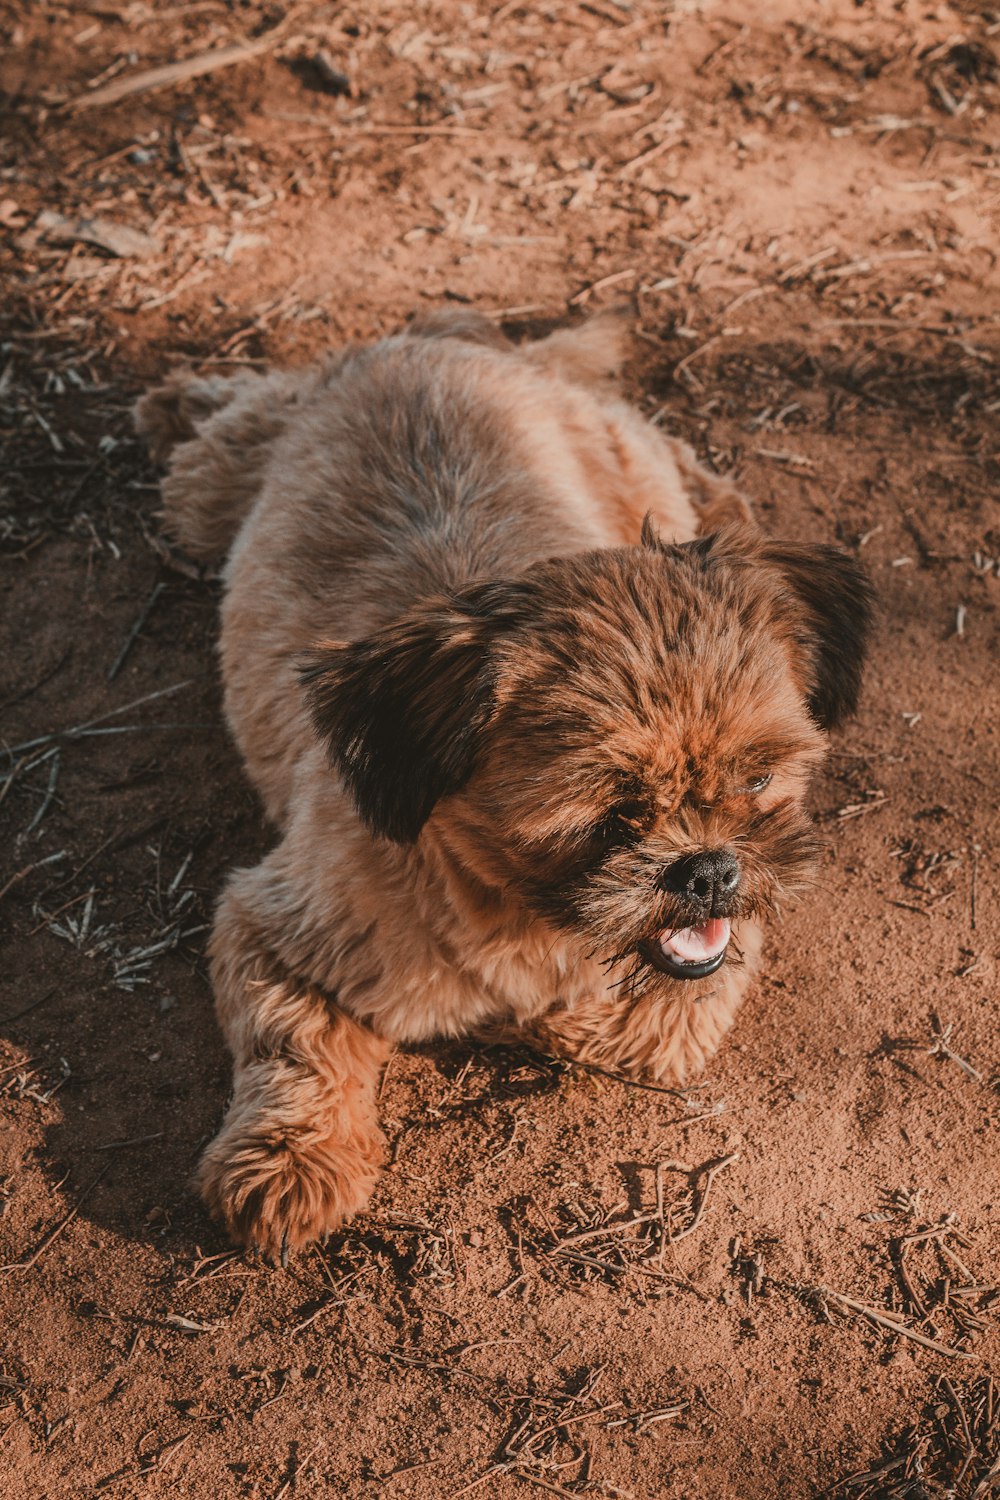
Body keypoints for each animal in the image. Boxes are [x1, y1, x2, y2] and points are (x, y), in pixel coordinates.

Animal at [137, 313, 869, 1254]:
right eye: (607, 814)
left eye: (759, 779)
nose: (709, 870)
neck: (512, 903)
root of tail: (444, 340)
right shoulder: (278, 930)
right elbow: (296, 1046)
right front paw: (292, 1157)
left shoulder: (702, 970)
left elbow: (633, 1025)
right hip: (207, 494)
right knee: (235, 416)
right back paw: (178, 399)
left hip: (626, 458)